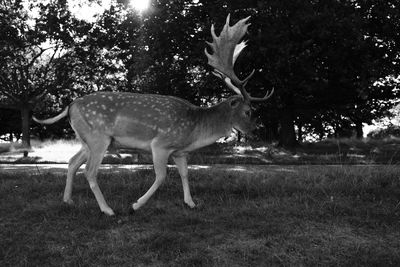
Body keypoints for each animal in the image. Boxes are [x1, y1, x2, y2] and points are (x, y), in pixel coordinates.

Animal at [32, 14, 274, 217]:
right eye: (248, 111)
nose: (255, 130)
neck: (195, 130)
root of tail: (70, 105)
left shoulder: (180, 152)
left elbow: (185, 174)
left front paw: (191, 203)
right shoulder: (161, 144)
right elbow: (161, 176)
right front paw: (136, 204)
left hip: (86, 140)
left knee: (72, 162)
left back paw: (68, 201)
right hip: (98, 137)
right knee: (89, 171)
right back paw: (107, 209)